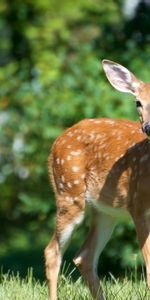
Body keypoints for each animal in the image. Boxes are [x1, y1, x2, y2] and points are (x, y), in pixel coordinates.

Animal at [44, 59, 150, 300]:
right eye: (138, 102)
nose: (148, 127)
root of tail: (55, 143)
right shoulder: (139, 206)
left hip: (106, 211)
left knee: (84, 256)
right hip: (69, 194)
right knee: (52, 251)